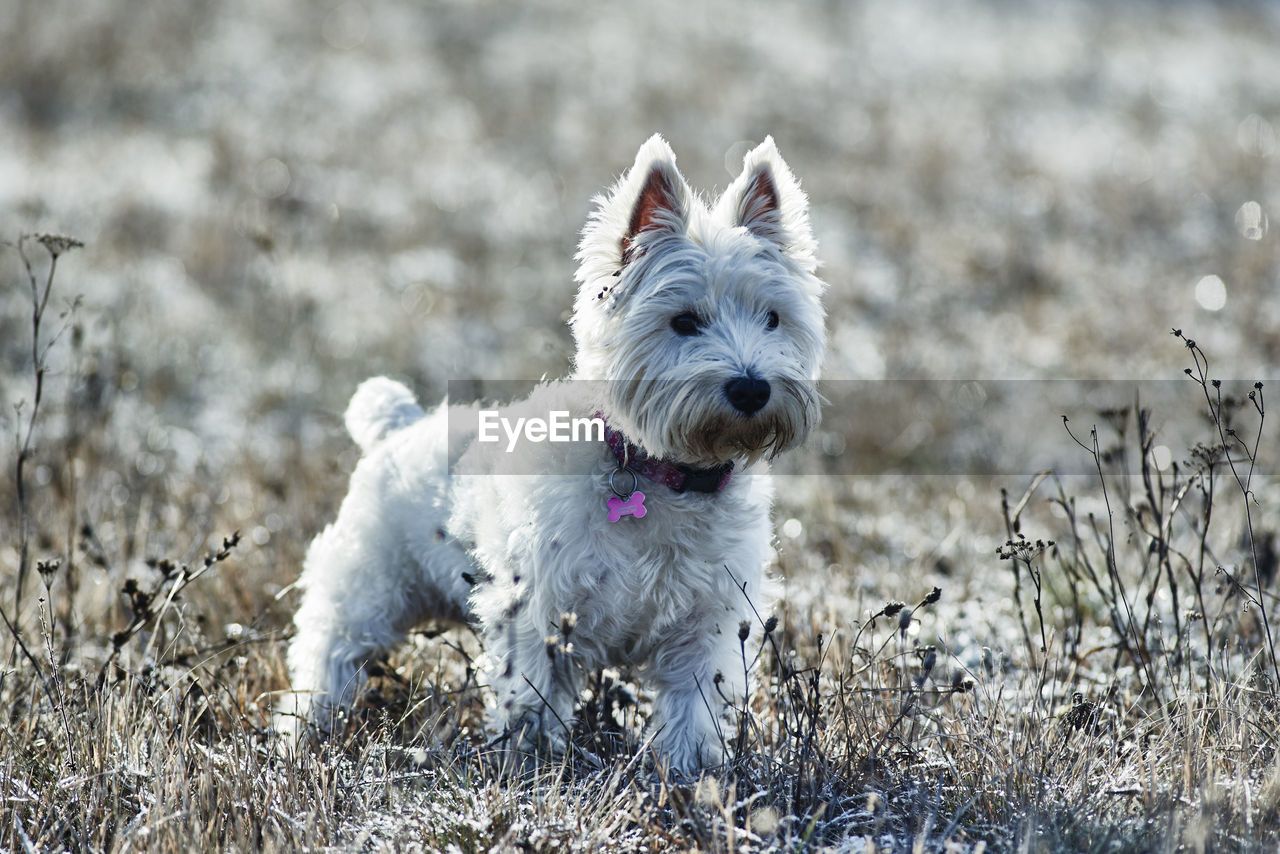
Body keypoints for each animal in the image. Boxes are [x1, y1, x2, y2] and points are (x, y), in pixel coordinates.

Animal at [282, 135, 829, 773]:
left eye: (773, 317)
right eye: (684, 321)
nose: (751, 389)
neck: (659, 473)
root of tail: (400, 424)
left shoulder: (706, 623)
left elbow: (693, 709)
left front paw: (691, 774)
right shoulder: (538, 613)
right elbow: (531, 702)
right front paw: (533, 768)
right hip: (368, 589)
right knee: (327, 653)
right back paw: (305, 731)